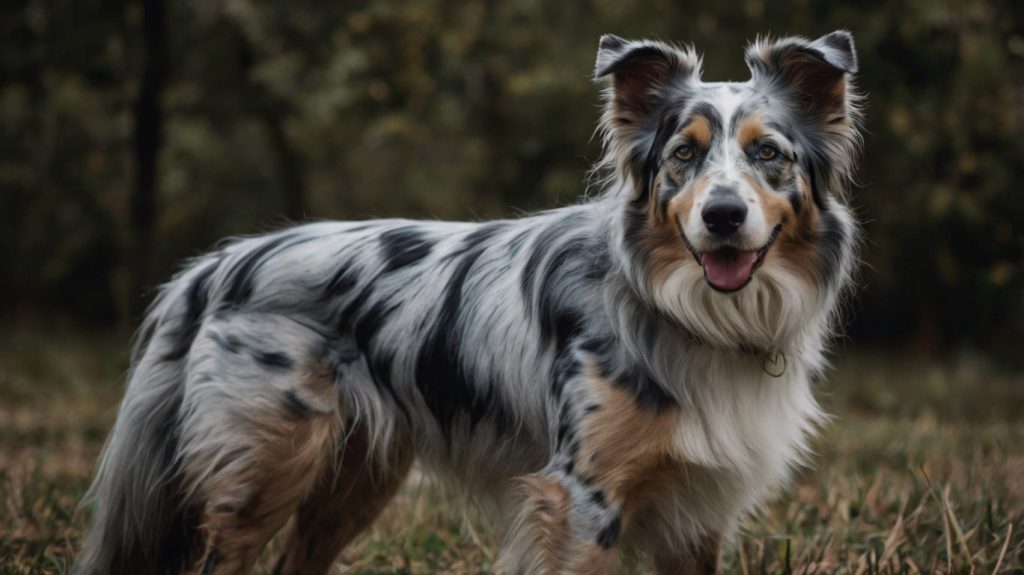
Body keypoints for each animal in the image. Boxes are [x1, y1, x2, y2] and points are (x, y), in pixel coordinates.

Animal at [77, 30, 864, 572]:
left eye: (768, 154)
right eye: (684, 155)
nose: (723, 216)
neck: (689, 313)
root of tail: (216, 262)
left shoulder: (698, 513)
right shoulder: (582, 498)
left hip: (355, 478)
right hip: (262, 473)